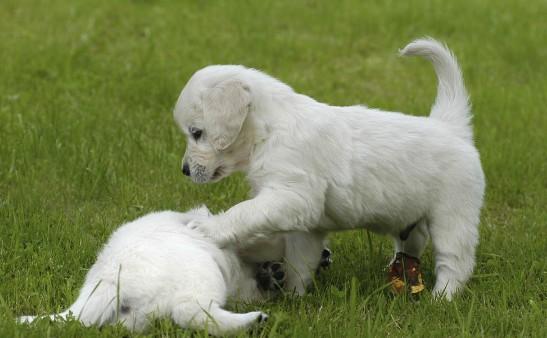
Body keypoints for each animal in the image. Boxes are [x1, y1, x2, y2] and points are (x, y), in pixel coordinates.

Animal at [173, 38, 486, 300]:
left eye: (196, 133)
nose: (185, 170)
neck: (270, 129)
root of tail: (450, 126)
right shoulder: (306, 224)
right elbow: (299, 262)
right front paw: (293, 297)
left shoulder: (292, 194)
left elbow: (244, 212)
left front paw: (208, 227)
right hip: (411, 219)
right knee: (411, 248)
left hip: (452, 216)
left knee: (455, 261)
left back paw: (441, 298)